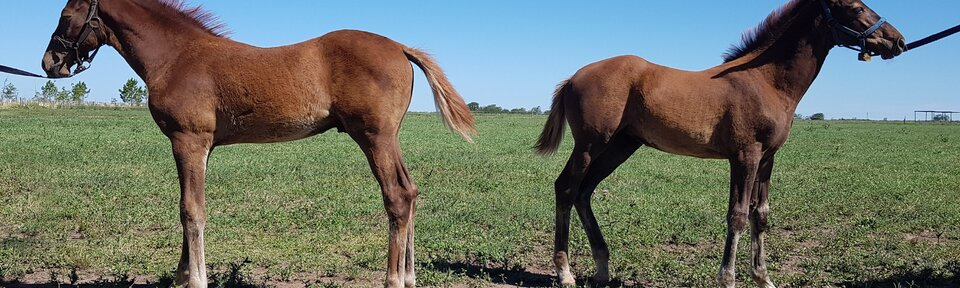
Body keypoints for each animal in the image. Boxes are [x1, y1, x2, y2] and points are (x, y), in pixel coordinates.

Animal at [41, 0, 476, 288]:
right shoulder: (201, 148)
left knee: (397, 197)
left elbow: (191, 211)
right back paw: (410, 275)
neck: (177, 57)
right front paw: (181, 276)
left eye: (66, 15)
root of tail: (400, 47)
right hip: (388, 138)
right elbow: (188, 208)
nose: (49, 63)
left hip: (374, 137)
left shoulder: (188, 141)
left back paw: (393, 279)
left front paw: (195, 279)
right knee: (411, 191)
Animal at [536, 0, 904, 286]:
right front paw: (727, 278)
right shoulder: (745, 155)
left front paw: (763, 277)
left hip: (621, 146)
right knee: (566, 188)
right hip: (590, 144)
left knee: (584, 192)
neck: (766, 80)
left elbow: (761, 215)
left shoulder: (768, 158)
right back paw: (565, 273)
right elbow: (738, 215)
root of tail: (573, 77)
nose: (897, 41)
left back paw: (601, 269)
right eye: (857, 8)